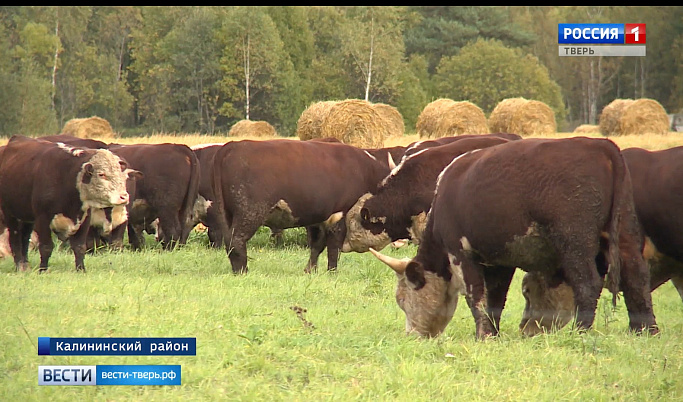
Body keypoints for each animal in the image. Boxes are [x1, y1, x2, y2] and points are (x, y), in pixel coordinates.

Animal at [0, 137, 131, 272]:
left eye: (121, 174)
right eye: (101, 174)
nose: (124, 197)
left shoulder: (85, 218)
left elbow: (80, 246)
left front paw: (81, 270)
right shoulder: (43, 218)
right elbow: (46, 247)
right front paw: (43, 270)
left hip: (27, 217)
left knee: (25, 239)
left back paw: (25, 265)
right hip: (10, 214)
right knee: (15, 239)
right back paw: (20, 266)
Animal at [214, 138, 392, 274]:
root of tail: (234, 145)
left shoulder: (319, 219)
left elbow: (317, 245)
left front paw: (310, 270)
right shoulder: (340, 215)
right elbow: (333, 248)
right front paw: (332, 273)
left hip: (229, 213)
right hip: (250, 213)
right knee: (236, 240)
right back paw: (242, 271)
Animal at [366, 137, 660, 340]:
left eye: (402, 299)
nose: (412, 336)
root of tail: (601, 146)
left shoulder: (461, 254)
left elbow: (475, 296)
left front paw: (482, 335)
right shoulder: (499, 261)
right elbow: (495, 299)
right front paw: (493, 334)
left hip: (575, 242)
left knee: (588, 283)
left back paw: (581, 331)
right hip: (625, 233)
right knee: (636, 277)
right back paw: (644, 330)